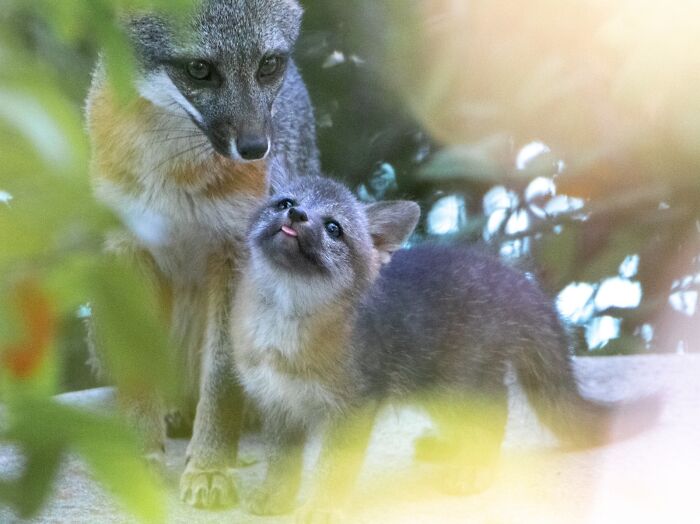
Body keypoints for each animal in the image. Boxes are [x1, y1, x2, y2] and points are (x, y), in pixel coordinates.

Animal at [84, 0, 319, 507]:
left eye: (268, 65)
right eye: (199, 69)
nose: (254, 148)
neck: (173, 173)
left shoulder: (236, 253)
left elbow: (223, 376)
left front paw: (210, 468)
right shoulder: (128, 248)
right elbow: (139, 373)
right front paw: (142, 457)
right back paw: (172, 409)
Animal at [224, 176, 661, 521]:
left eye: (333, 227)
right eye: (285, 203)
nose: (297, 216)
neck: (281, 331)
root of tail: (510, 276)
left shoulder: (354, 407)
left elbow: (334, 470)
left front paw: (323, 507)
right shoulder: (278, 404)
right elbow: (283, 464)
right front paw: (275, 497)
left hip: (458, 386)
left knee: (496, 414)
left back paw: (474, 468)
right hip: (436, 392)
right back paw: (449, 449)